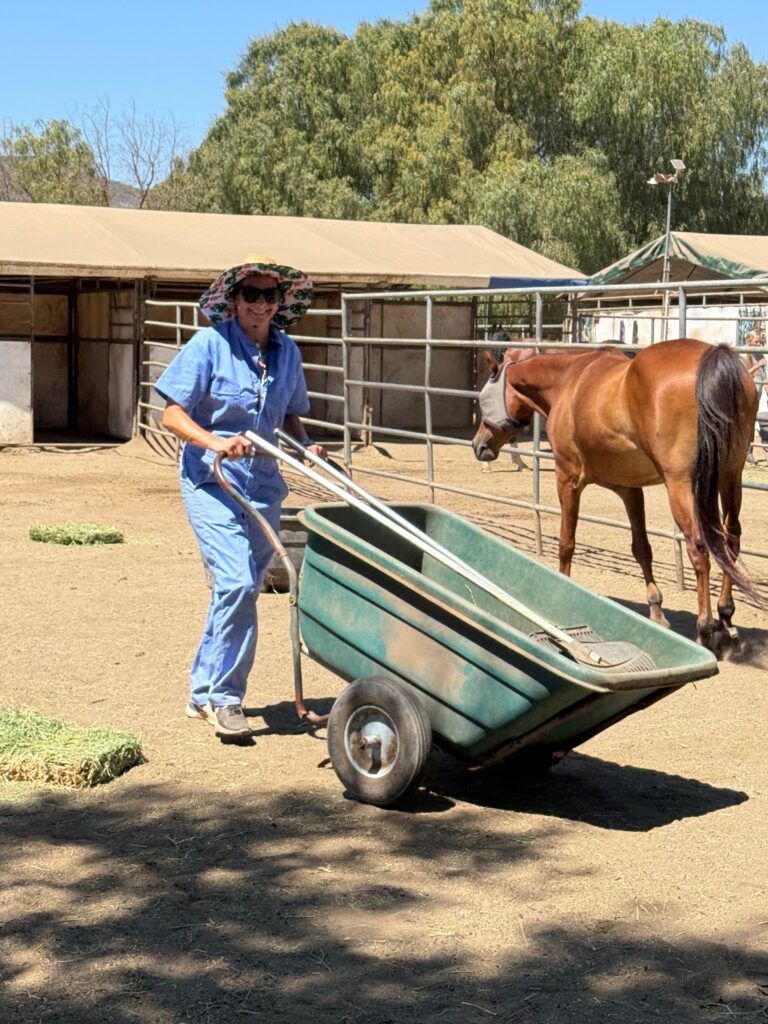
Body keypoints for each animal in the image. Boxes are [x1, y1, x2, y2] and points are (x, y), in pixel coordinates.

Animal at [472, 338, 760, 649]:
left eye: (483, 396)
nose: (479, 445)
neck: (566, 380)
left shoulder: (568, 480)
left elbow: (566, 543)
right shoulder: (629, 488)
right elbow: (641, 547)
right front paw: (656, 610)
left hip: (681, 485)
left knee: (699, 547)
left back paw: (705, 629)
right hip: (730, 478)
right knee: (730, 538)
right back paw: (725, 615)